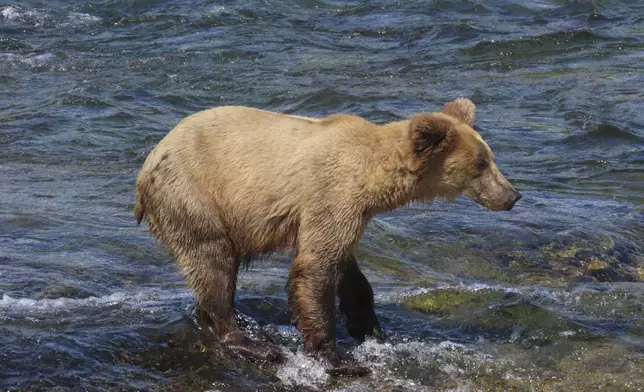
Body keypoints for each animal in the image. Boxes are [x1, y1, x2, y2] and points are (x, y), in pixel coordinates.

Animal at [133, 98, 520, 376]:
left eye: (490, 157)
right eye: (481, 164)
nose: (513, 195)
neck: (374, 177)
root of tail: (146, 164)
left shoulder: (347, 213)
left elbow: (347, 269)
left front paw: (370, 328)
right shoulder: (331, 194)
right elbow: (316, 267)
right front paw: (338, 358)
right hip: (193, 194)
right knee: (213, 261)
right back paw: (250, 343)